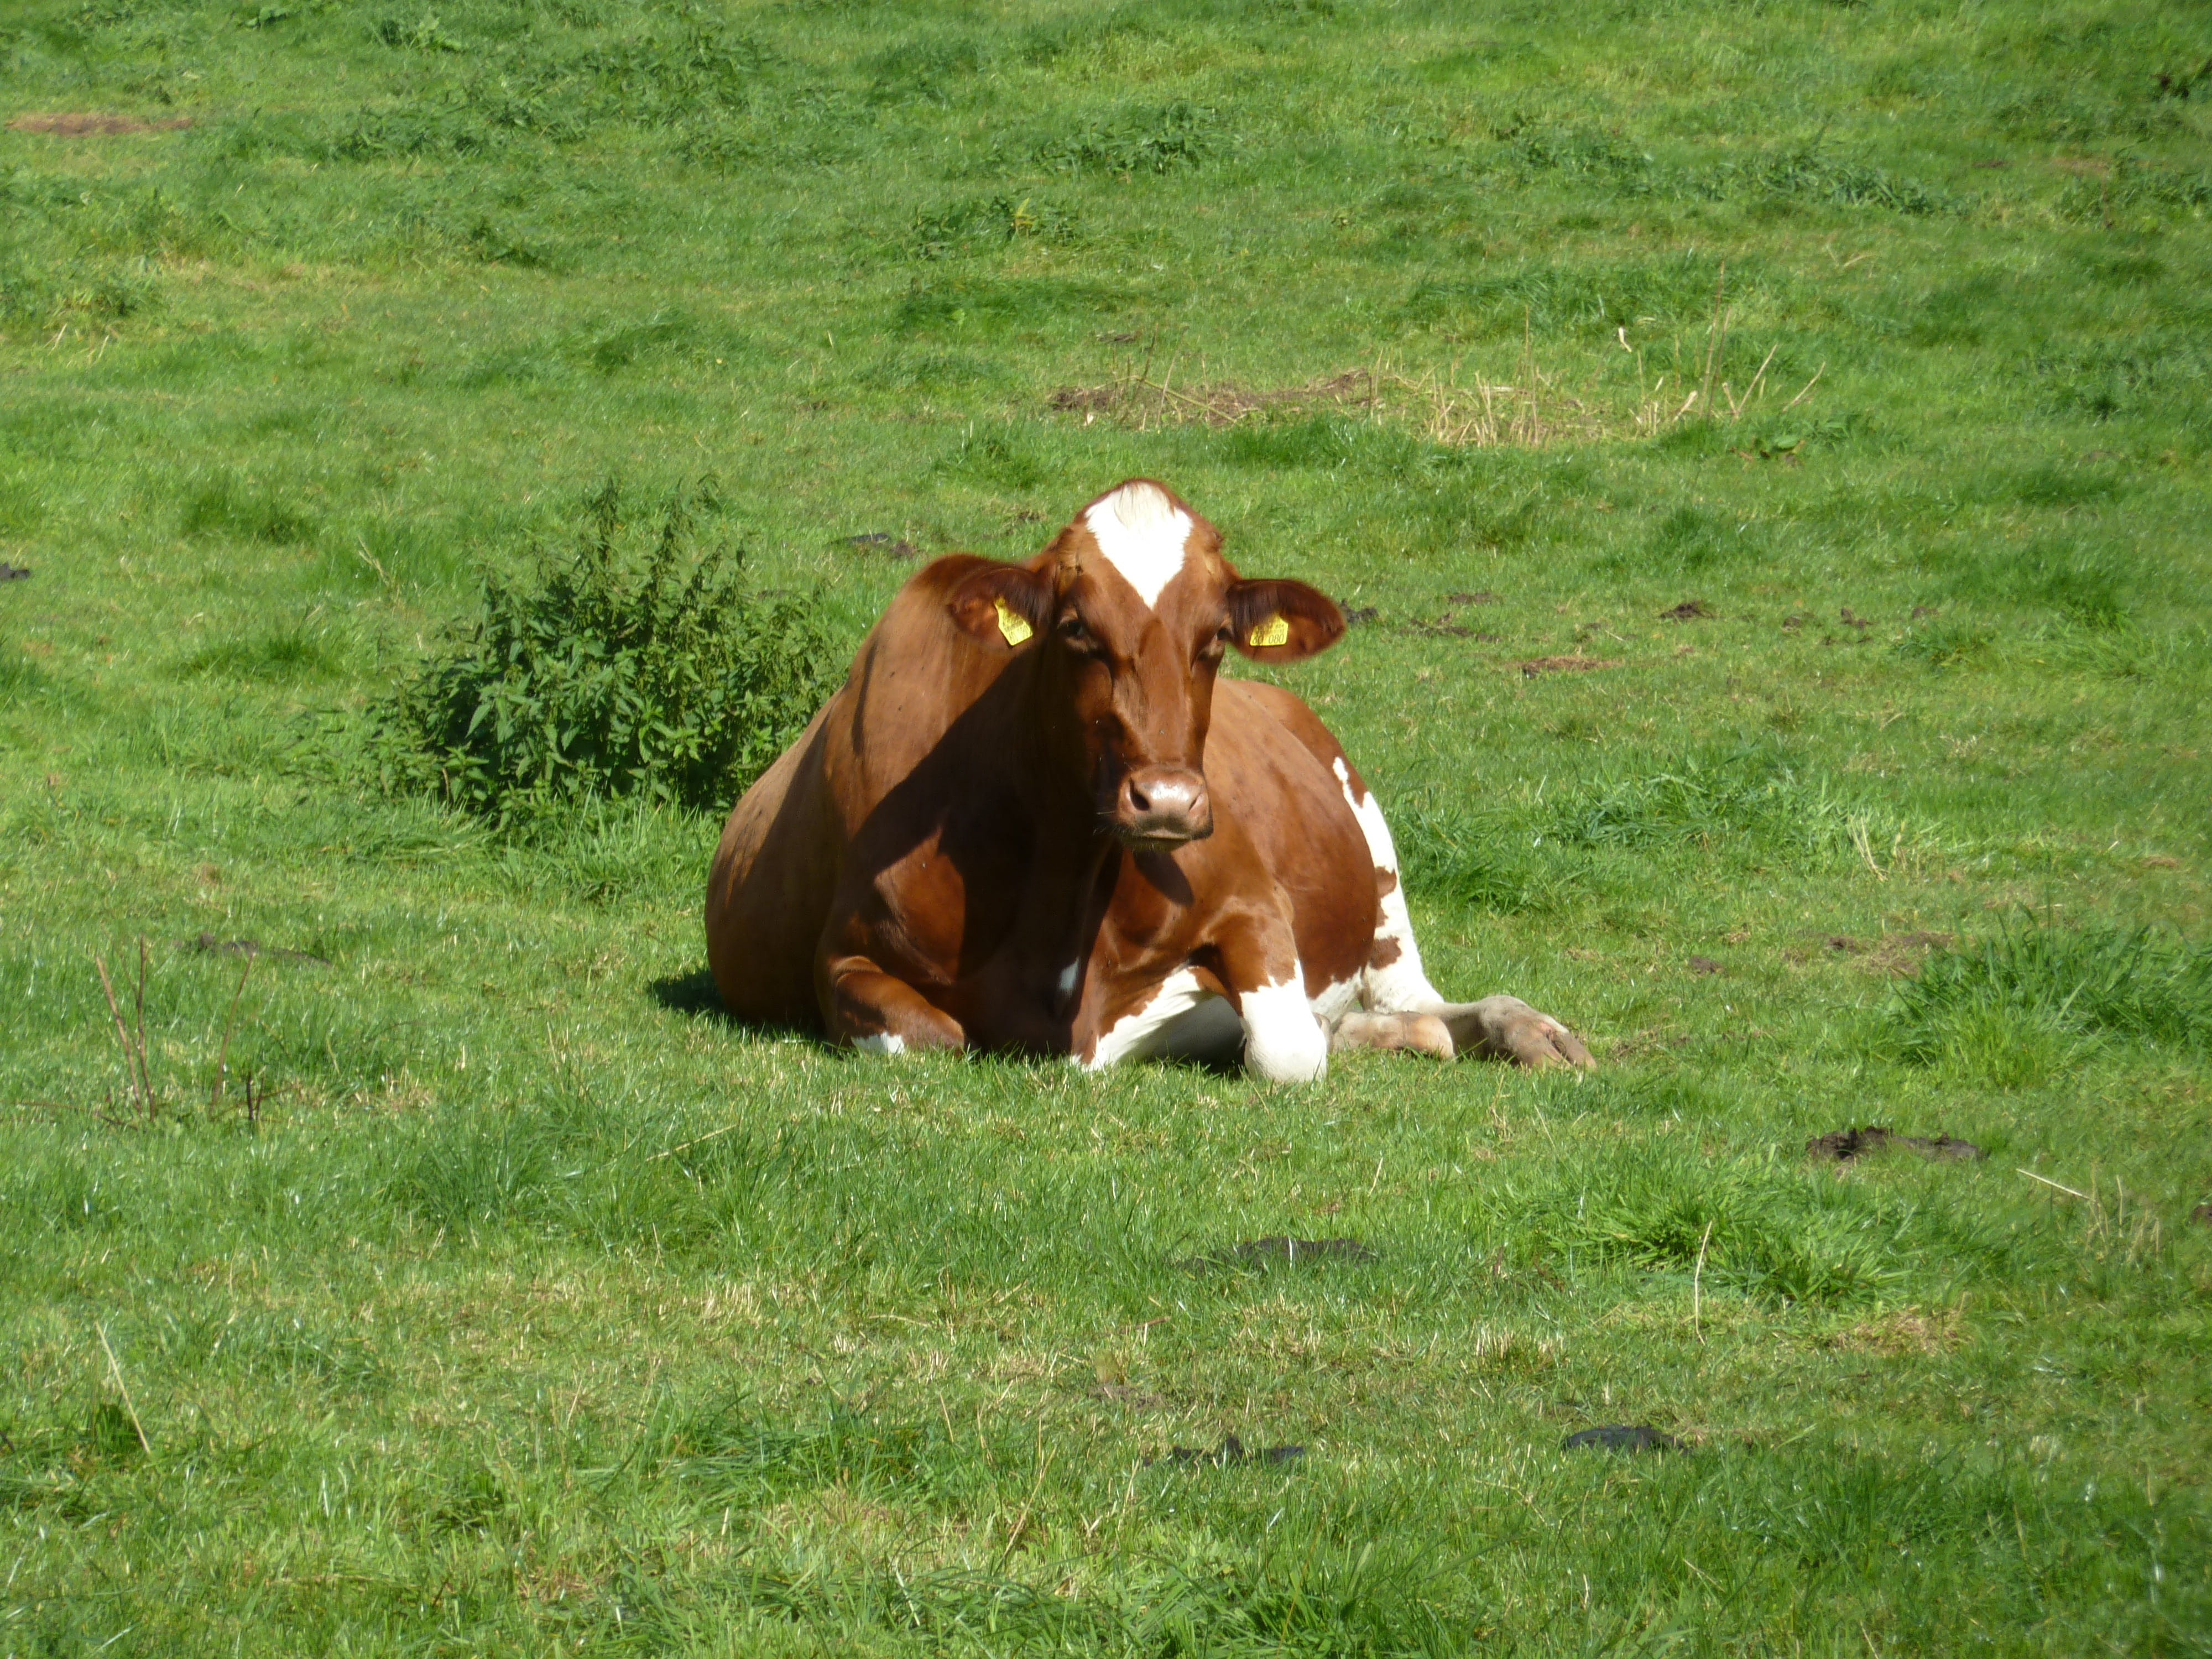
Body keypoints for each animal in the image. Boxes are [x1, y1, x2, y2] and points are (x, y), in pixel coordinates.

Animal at [705, 479, 1592, 1082]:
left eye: (1216, 639)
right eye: (1074, 629)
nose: (1166, 801)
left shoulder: (1251, 901)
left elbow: (1284, 1046)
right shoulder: (845, 956)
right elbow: (931, 1038)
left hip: (1375, 861)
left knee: (1412, 999)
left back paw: (1527, 1030)